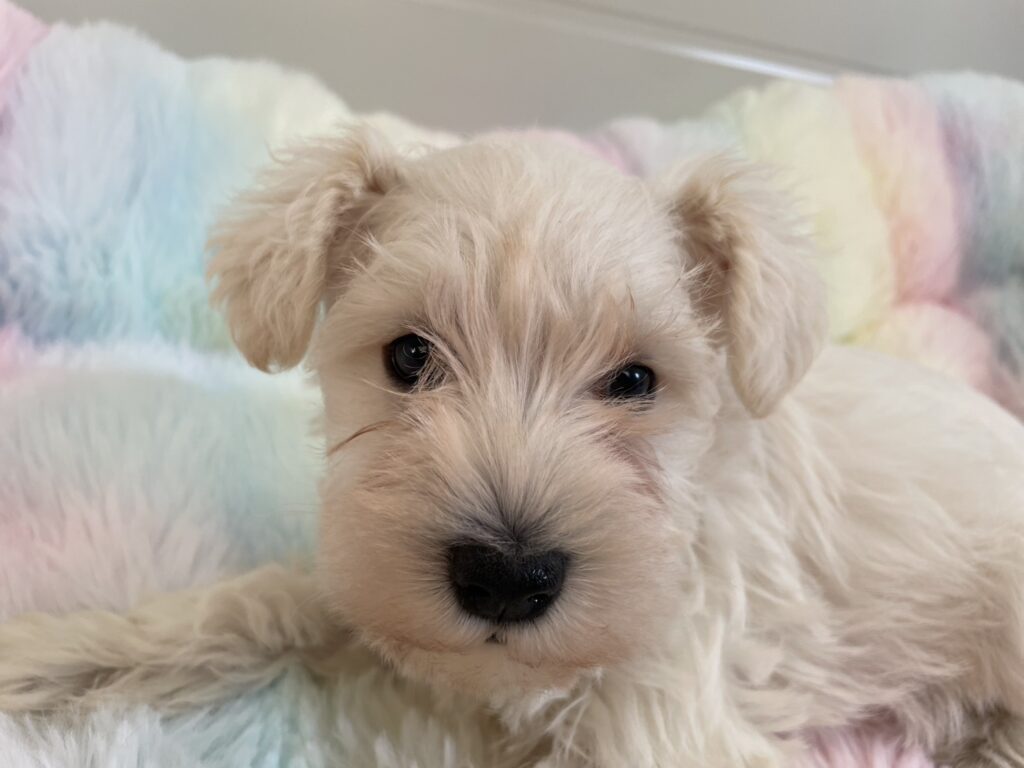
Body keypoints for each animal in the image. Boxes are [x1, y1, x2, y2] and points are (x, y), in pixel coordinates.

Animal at [2, 125, 1024, 767]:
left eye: (636, 380)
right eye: (409, 356)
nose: (505, 576)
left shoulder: (666, 720)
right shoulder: (368, 577)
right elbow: (250, 604)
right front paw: (55, 654)